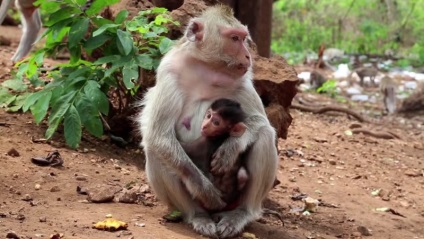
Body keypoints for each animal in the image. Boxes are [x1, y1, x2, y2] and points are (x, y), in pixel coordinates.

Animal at [137, 4, 280, 238]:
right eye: (234, 39)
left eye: (244, 38)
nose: (248, 55)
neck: (208, 68)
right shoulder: (169, 71)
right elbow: (159, 135)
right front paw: (205, 190)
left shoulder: (242, 79)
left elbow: (260, 121)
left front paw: (231, 148)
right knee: (156, 150)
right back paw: (197, 215)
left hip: (235, 199)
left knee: (264, 136)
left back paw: (241, 214)